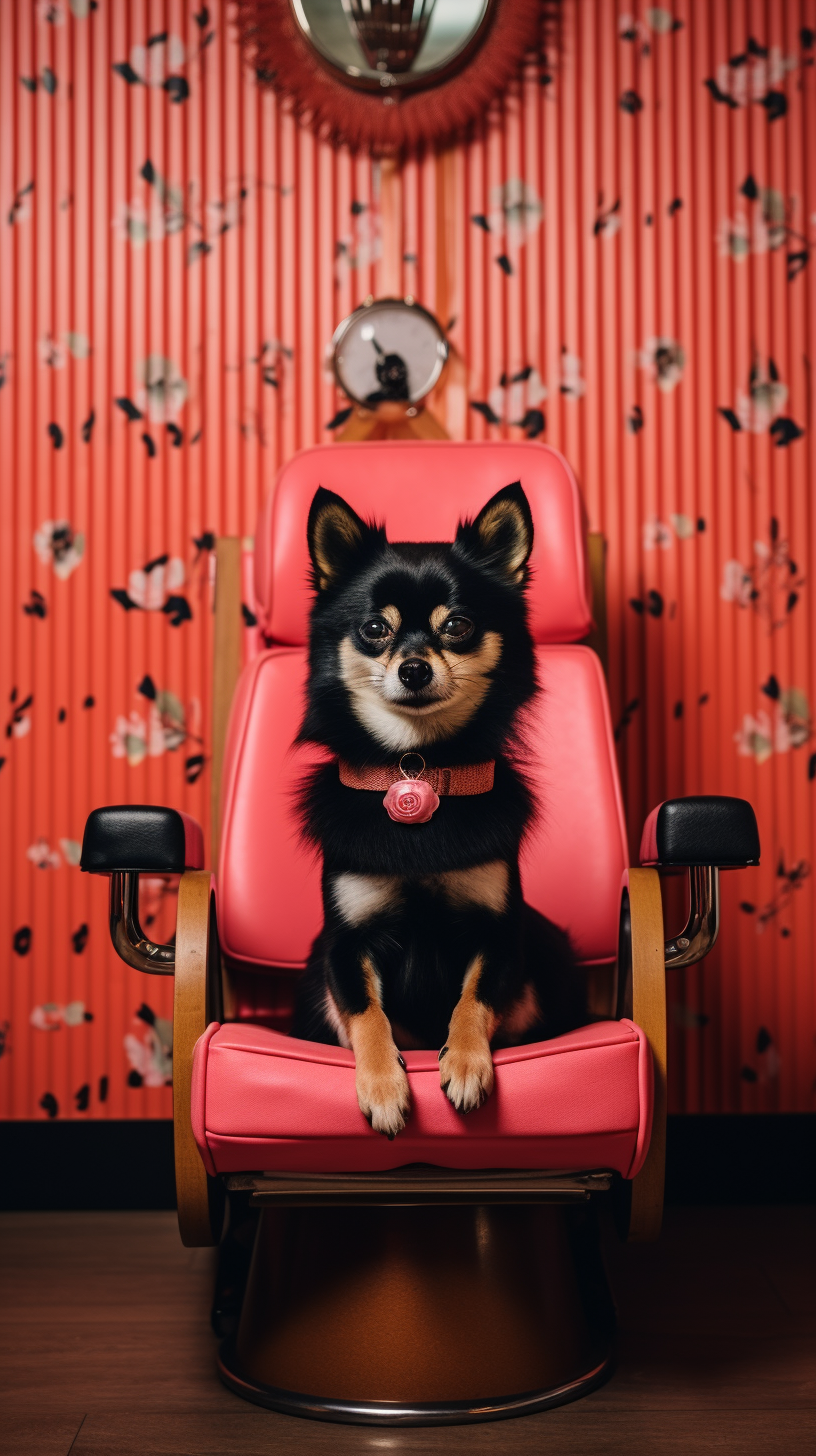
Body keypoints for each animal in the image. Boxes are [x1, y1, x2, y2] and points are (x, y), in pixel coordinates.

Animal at [291, 483, 579, 1129]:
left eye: (459, 626)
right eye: (375, 628)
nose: (415, 667)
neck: (418, 765)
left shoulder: (497, 932)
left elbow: (473, 999)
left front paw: (467, 1065)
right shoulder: (346, 945)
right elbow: (367, 1012)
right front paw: (382, 1086)